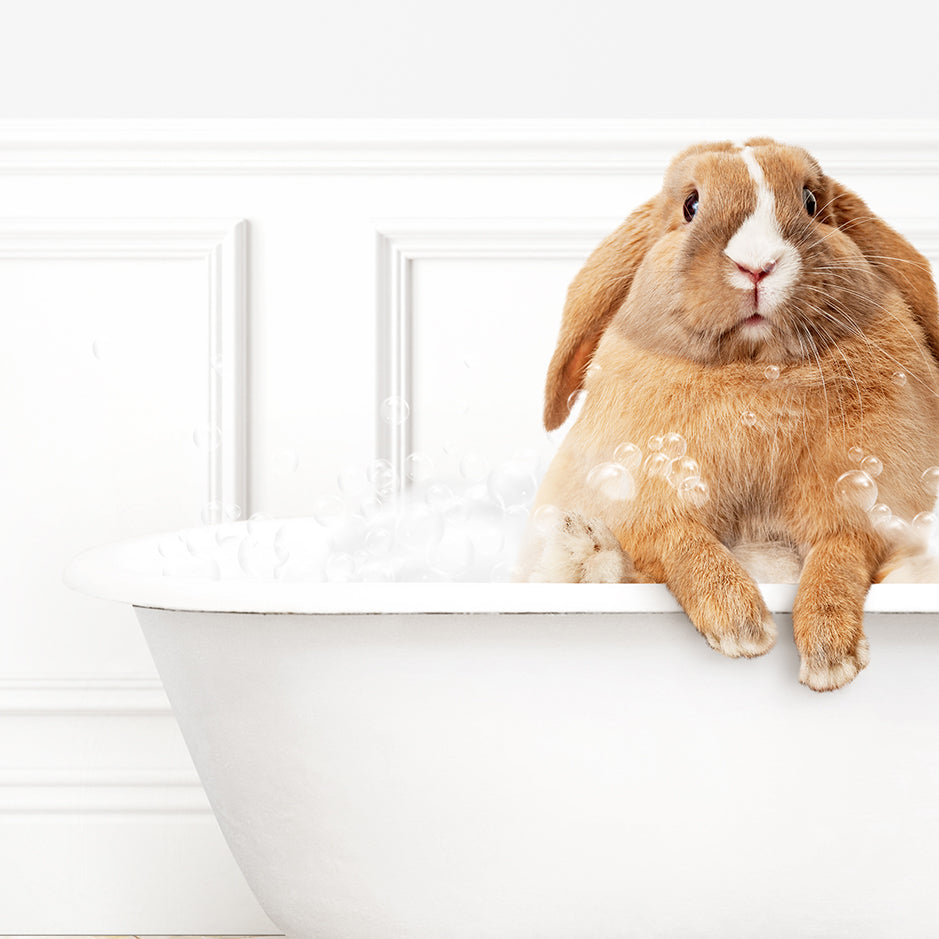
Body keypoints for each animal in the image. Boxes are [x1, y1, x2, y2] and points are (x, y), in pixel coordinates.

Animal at [516, 141, 939, 696]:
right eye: (690, 205)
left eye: (810, 202)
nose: (757, 265)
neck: (755, 372)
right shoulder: (646, 499)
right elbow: (684, 542)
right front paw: (743, 628)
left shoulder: (863, 505)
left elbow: (838, 558)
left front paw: (830, 657)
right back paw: (583, 547)